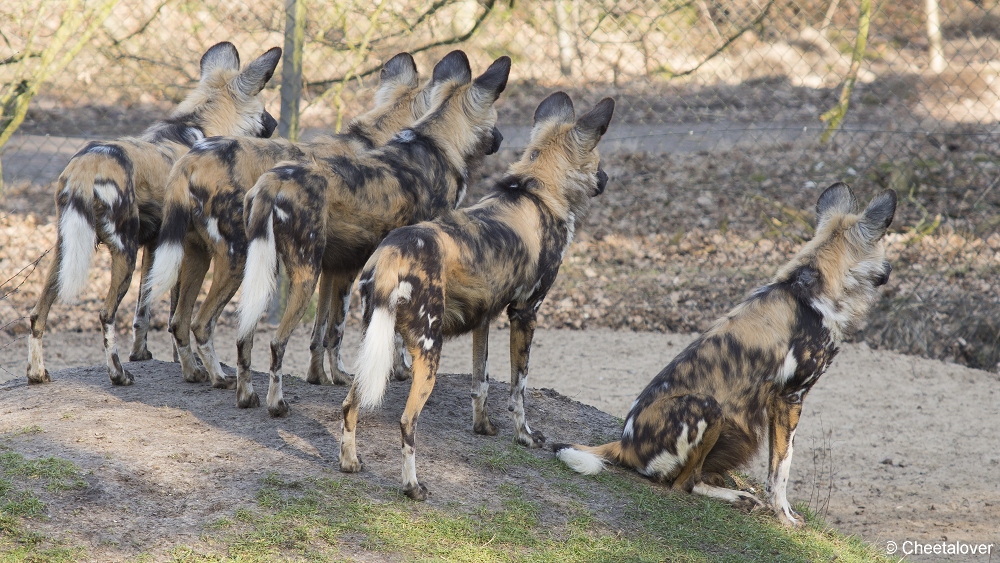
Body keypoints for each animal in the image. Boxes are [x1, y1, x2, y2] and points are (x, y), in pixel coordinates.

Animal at [27, 40, 282, 388]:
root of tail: (87, 165)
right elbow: (178, 316)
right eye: (265, 105)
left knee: (38, 312)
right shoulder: (183, 249)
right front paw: (190, 366)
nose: (275, 123)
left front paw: (143, 354)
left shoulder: (157, 247)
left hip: (66, 251)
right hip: (125, 251)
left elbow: (144, 311)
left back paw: (37, 373)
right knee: (106, 315)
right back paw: (118, 374)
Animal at [142, 53, 434, 390]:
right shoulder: (354, 269)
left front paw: (319, 376)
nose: (272, 124)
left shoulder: (330, 268)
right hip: (237, 259)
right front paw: (387, 372)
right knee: (200, 323)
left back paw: (195, 373)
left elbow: (320, 332)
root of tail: (189, 160)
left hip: (198, 256)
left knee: (178, 321)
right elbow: (350, 332)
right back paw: (221, 378)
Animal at [236, 49, 508, 418]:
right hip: (304, 276)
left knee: (244, 334)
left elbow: (329, 334)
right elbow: (379, 338)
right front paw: (398, 372)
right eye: (496, 118)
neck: (437, 142)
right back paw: (276, 405)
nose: (502, 139)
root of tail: (272, 181)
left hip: (265, 272)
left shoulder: (342, 269)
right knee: (277, 342)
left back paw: (245, 396)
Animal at [340, 93, 612, 502]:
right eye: (597, 163)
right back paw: (412, 487)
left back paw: (350, 462)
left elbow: (479, 383)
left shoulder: (485, 317)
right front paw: (524, 437)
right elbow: (519, 389)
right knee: (406, 423)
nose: (607, 179)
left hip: (374, 342)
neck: (538, 192)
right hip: (428, 351)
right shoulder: (524, 314)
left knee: (349, 403)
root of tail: (391, 255)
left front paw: (483, 427)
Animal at [556, 185, 900, 528]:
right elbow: (782, 470)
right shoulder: (790, 398)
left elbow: (776, 466)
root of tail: (626, 443)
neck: (813, 290)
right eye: (885, 251)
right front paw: (785, 517)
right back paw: (738, 497)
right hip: (706, 407)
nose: (890, 271)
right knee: (684, 484)